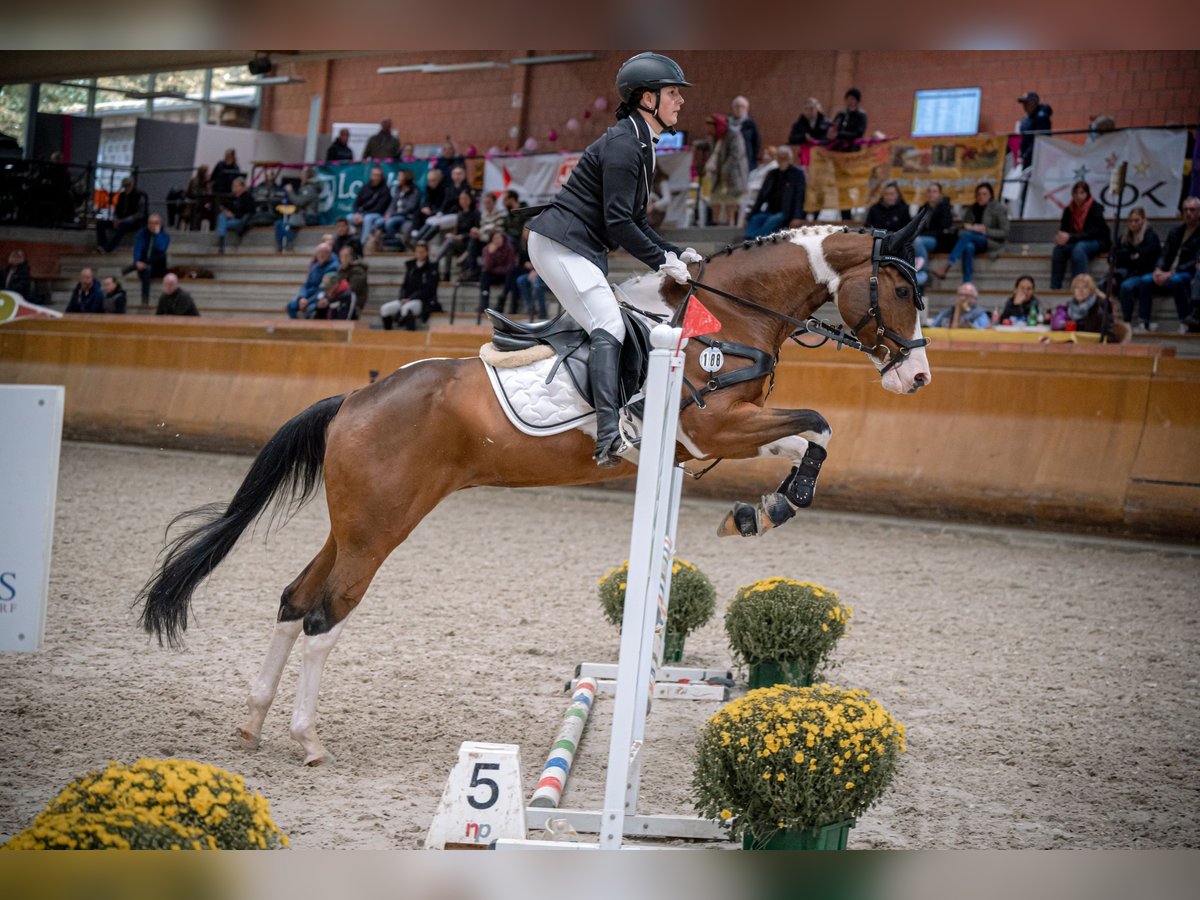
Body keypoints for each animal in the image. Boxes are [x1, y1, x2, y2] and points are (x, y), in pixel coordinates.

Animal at [138, 214, 926, 763]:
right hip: (382, 526)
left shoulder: (722, 436)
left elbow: (810, 436)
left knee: (294, 598)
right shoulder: (716, 427)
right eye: (900, 290)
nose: (916, 379)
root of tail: (353, 400)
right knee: (324, 615)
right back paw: (306, 739)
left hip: (354, 521)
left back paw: (252, 723)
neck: (732, 314)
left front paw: (759, 509)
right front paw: (769, 507)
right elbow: (820, 424)